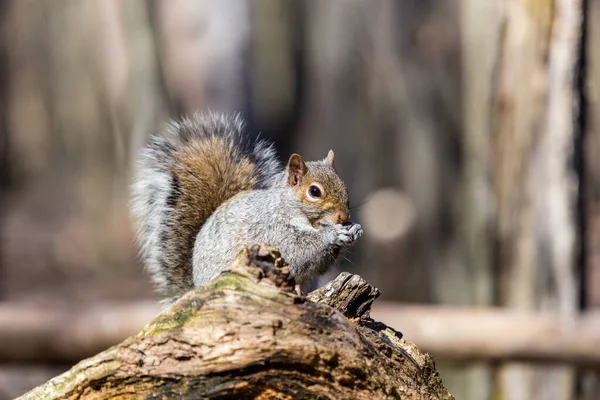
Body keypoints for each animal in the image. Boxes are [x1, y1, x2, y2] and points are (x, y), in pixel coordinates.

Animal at [131, 111, 364, 304]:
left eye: (344, 186)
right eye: (314, 191)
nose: (343, 217)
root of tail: (196, 288)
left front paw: (353, 229)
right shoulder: (274, 231)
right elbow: (300, 251)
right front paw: (333, 234)